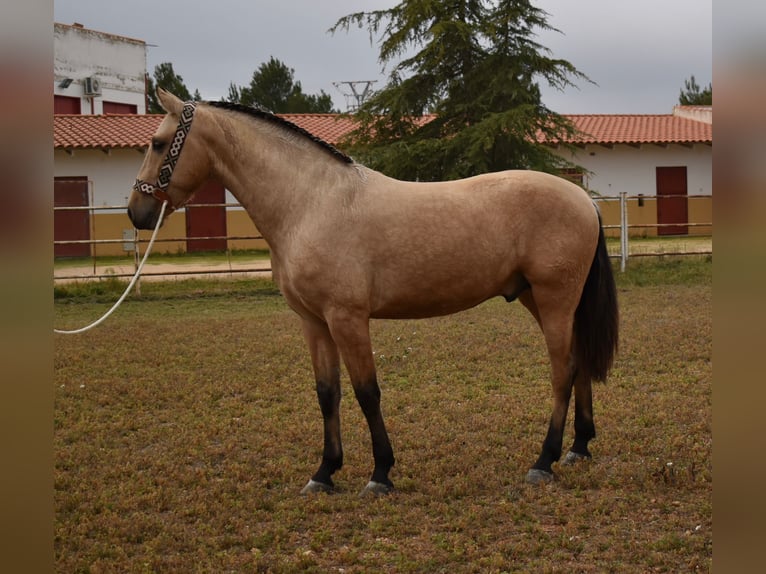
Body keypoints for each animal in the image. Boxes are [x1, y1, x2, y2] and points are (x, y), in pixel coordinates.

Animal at [129, 90, 620, 500]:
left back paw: (544, 461)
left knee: (562, 370)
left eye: (158, 143)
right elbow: (327, 393)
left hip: (554, 299)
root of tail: (583, 198)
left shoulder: (347, 318)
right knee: (578, 363)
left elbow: (367, 393)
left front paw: (380, 474)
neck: (311, 202)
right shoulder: (314, 322)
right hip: (542, 300)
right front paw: (324, 473)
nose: (138, 213)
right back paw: (579, 447)